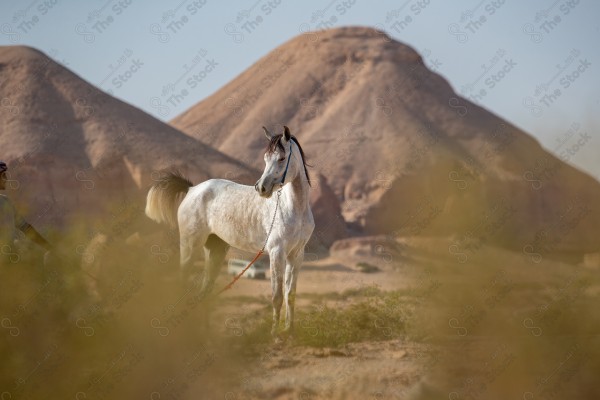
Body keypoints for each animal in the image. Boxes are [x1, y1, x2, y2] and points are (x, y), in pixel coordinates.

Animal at [145, 126, 314, 338]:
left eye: (282, 158)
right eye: (266, 158)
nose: (261, 188)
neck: (292, 208)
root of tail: (191, 189)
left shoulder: (296, 254)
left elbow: (290, 295)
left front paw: (289, 331)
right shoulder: (277, 253)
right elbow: (277, 296)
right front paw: (275, 333)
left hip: (215, 250)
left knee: (205, 291)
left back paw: (206, 334)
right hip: (190, 247)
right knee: (182, 283)